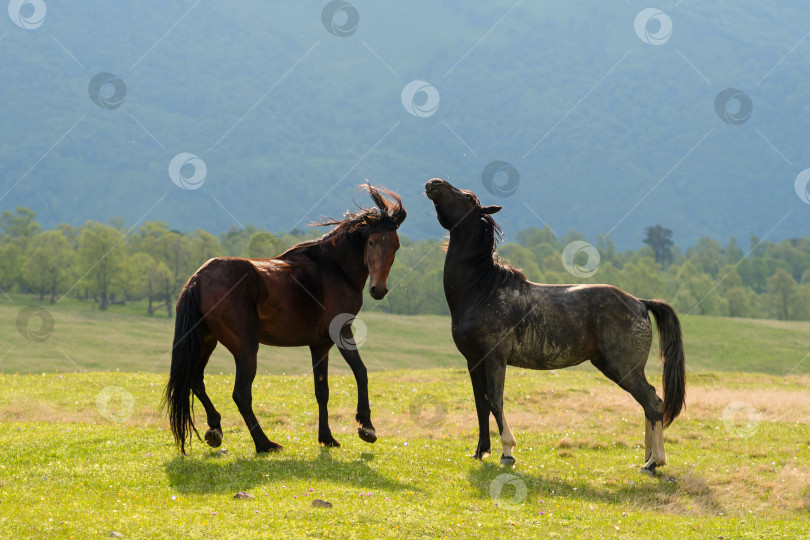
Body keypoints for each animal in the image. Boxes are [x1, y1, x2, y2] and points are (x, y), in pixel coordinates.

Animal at [166, 184, 404, 454]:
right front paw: (366, 427)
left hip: (207, 341)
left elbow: (322, 391)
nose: (378, 289)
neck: (332, 268)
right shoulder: (342, 333)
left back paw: (215, 429)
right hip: (245, 349)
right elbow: (361, 372)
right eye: (371, 242)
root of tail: (198, 279)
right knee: (240, 394)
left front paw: (327, 437)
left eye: (395, 246)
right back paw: (264, 443)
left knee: (196, 381)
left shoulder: (319, 345)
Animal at [422, 179, 680, 474]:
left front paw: (507, 452)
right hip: (612, 367)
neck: (483, 291)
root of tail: (640, 303)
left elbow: (496, 401)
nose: (433, 183)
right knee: (649, 404)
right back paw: (648, 458)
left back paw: (653, 461)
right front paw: (480, 452)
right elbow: (481, 404)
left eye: (466, 197)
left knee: (653, 403)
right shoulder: (473, 361)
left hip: (625, 369)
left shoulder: (495, 358)